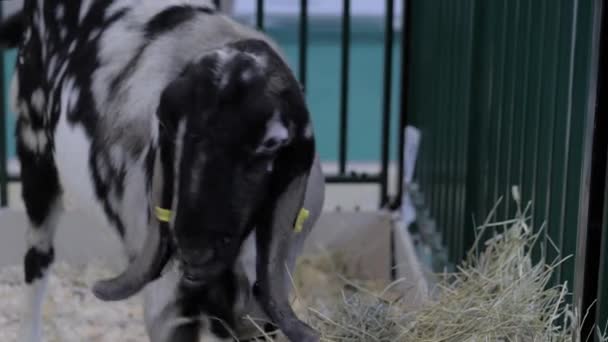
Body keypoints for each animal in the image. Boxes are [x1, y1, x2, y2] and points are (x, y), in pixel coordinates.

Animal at [2, 1, 326, 340]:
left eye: (271, 143)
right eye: (168, 127)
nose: (194, 250)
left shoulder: (256, 317)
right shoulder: (169, 309)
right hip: (35, 147)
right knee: (37, 259)